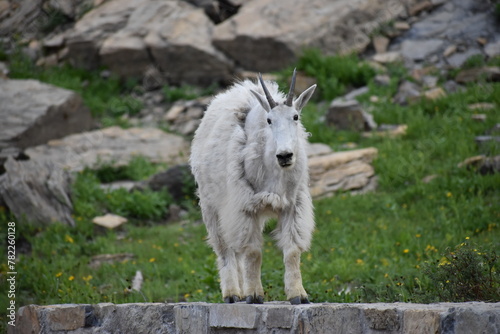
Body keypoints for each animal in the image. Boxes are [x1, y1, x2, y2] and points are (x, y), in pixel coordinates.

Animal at [189, 71, 314, 306]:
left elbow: (292, 251)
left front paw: (298, 295)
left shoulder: (293, 206)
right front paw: (254, 295)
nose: (285, 156)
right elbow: (253, 252)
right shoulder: (245, 207)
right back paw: (232, 294)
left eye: (296, 117)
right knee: (225, 250)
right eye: (269, 120)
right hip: (211, 206)